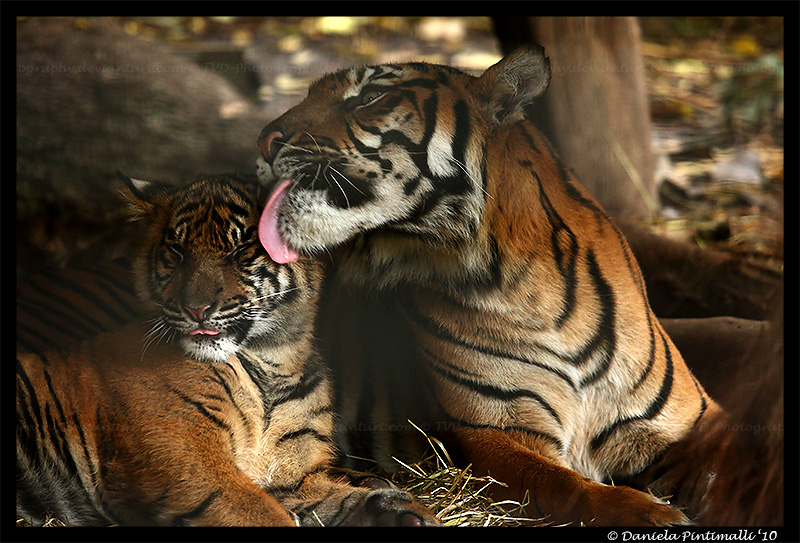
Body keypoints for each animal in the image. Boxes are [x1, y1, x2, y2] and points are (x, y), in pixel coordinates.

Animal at [14, 173, 438, 528]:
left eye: (240, 250)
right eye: (177, 251)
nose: (196, 308)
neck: (277, 360)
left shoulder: (290, 475)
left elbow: (341, 497)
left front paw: (402, 510)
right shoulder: (190, 461)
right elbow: (266, 517)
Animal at [256, 47, 720, 528]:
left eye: (369, 96)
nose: (264, 141)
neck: (522, 284)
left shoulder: (693, 419)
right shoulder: (493, 433)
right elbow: (572, 488)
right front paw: (654, 515)